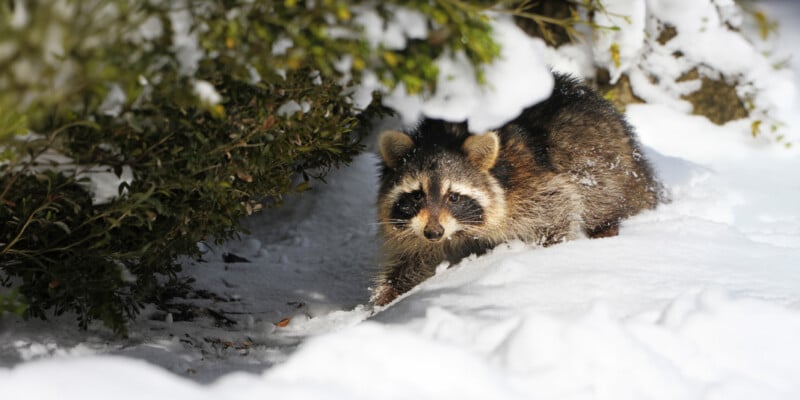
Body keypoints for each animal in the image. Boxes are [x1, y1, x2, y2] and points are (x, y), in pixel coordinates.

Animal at [371, 73, 661, 306]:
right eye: (417, 195)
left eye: (453, 197)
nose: (433, 232)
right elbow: (412, 262)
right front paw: (384, 301)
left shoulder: (530, 185)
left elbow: (558, 206)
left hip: (606, 162)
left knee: (600, 194)